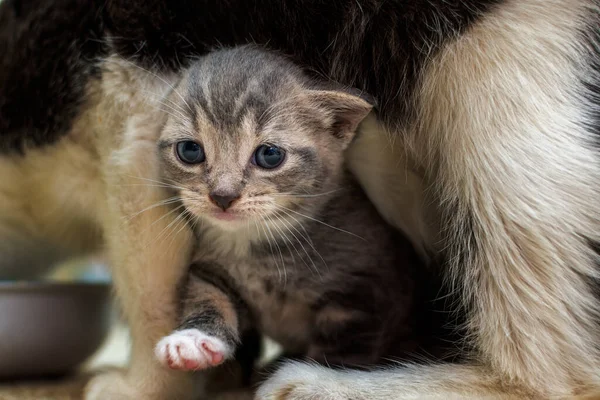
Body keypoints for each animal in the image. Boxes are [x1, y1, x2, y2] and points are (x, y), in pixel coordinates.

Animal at [154, 47, 426, 372]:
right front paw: (193, 340)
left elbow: (338, 358)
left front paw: (309, 377)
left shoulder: (364, 293)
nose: (223, 195)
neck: (254, 247)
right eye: (190, 150)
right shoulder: (208, 269)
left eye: (270, 155)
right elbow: (208, 295)